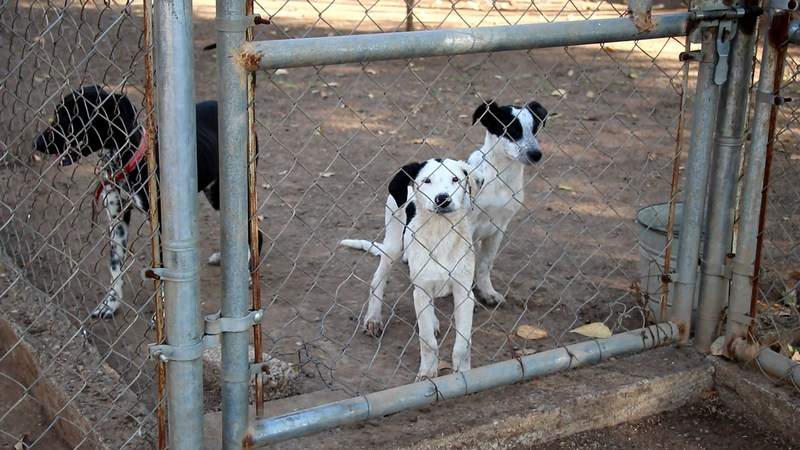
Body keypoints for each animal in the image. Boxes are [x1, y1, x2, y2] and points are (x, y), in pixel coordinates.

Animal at [34, 86, 260, 318]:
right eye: (57, 113)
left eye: (73, 116)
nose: (38, 143)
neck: (127, 161)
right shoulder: (117, 220)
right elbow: (115, 265)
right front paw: (110, 304)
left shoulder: (161, 224)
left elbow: (163, 268)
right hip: (214, 192)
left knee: (253, 232)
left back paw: (246, 275)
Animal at [340, 99, 548, 344]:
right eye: (511, 130)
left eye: (535, 129)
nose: (536, 154)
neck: (499, 176)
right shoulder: (466, 226)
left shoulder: (498, 228)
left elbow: (485, 265)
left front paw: (486, 292)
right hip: (393, 242)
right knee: (379, 279)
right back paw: (374, 318)